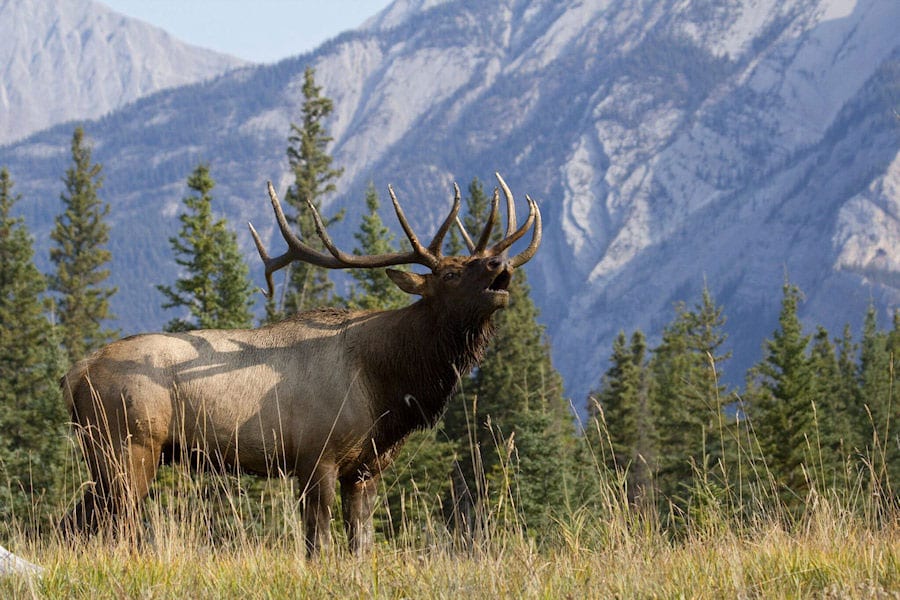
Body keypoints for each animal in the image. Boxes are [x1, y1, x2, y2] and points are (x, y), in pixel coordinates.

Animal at [60, 173, 541, 555]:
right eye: (450, 274)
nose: (499, 263)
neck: (386, 389)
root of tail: (75, 373)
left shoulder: (365, 469)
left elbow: (360, 545)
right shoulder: (316, 456)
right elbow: (318, 544)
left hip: (105, 453)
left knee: (76, 522)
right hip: (129, 445)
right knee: (113, 525)